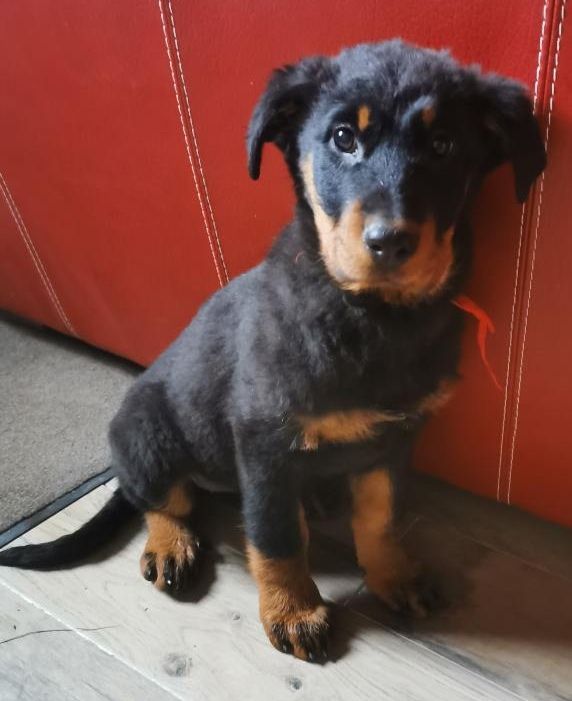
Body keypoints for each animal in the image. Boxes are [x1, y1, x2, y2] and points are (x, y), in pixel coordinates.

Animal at [0, 40, 545, 662]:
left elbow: (380, 516)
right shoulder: (264, 440)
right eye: (342, 138)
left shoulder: (395, 438)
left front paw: (393, 574)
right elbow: (276, 535)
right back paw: (170, 544)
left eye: (443, 146)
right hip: (146, 432)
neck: (371, 316)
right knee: (159, 498)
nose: (390, 243)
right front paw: (294, 610)